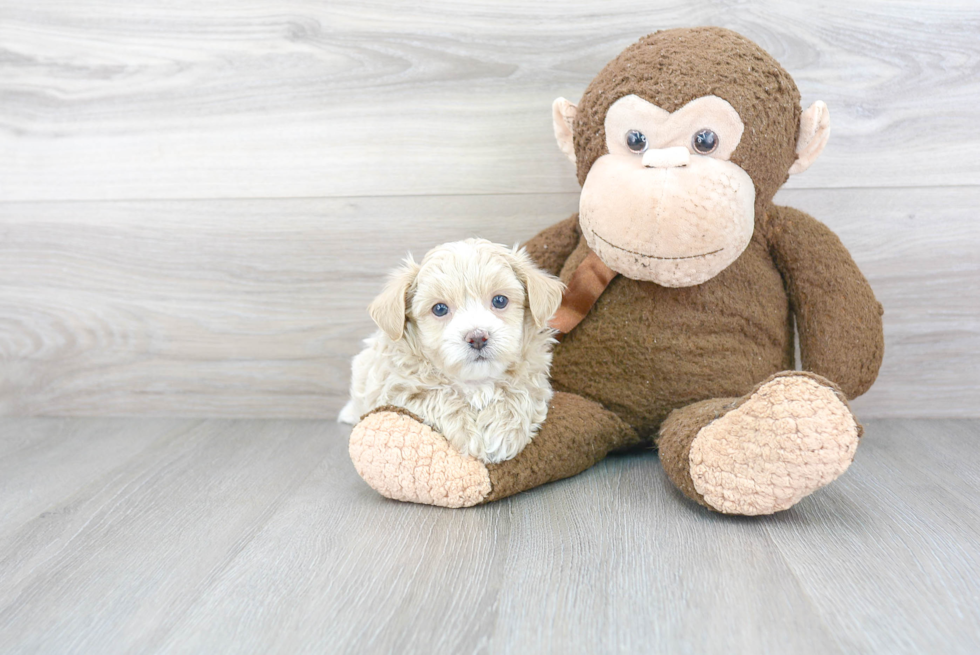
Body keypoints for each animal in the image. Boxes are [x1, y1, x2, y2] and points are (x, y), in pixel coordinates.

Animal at [338, 238, 564, 464]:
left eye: (500, 301)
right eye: (439, 309)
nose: (477, 337)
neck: (475, 382)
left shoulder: (533, 374)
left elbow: (520, 392)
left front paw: (503, 431)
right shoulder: (397, 390)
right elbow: (438, 396)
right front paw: (468, 433)